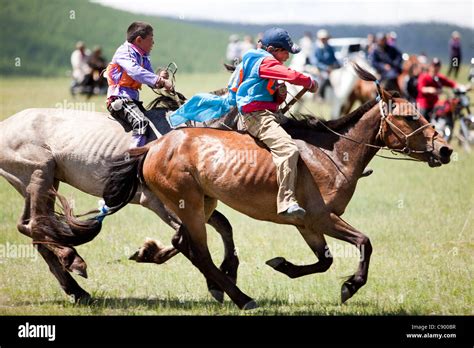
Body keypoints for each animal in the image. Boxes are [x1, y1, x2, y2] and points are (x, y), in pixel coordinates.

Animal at [0, 92, 237, 302]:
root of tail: (5, 125)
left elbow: (221, 226)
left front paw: (225, 275)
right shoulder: (157, 203)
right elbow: (186, 239)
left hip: (43, 183)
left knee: (36, 229)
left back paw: (77, 290)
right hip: (40, 173)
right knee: (35, 226)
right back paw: (73, 260)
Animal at [69, 64, 452, 308]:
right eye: (410, 117)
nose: (445, 149)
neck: (333, 154)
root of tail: (153, 146)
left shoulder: (307, 224)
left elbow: (325, 259)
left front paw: (284, 265)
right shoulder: (321, 217)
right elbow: (364, 242)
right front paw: (350, 286)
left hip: (203, 202)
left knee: (185, 244)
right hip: (187, 204)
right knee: (199, 251)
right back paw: (240, 297)